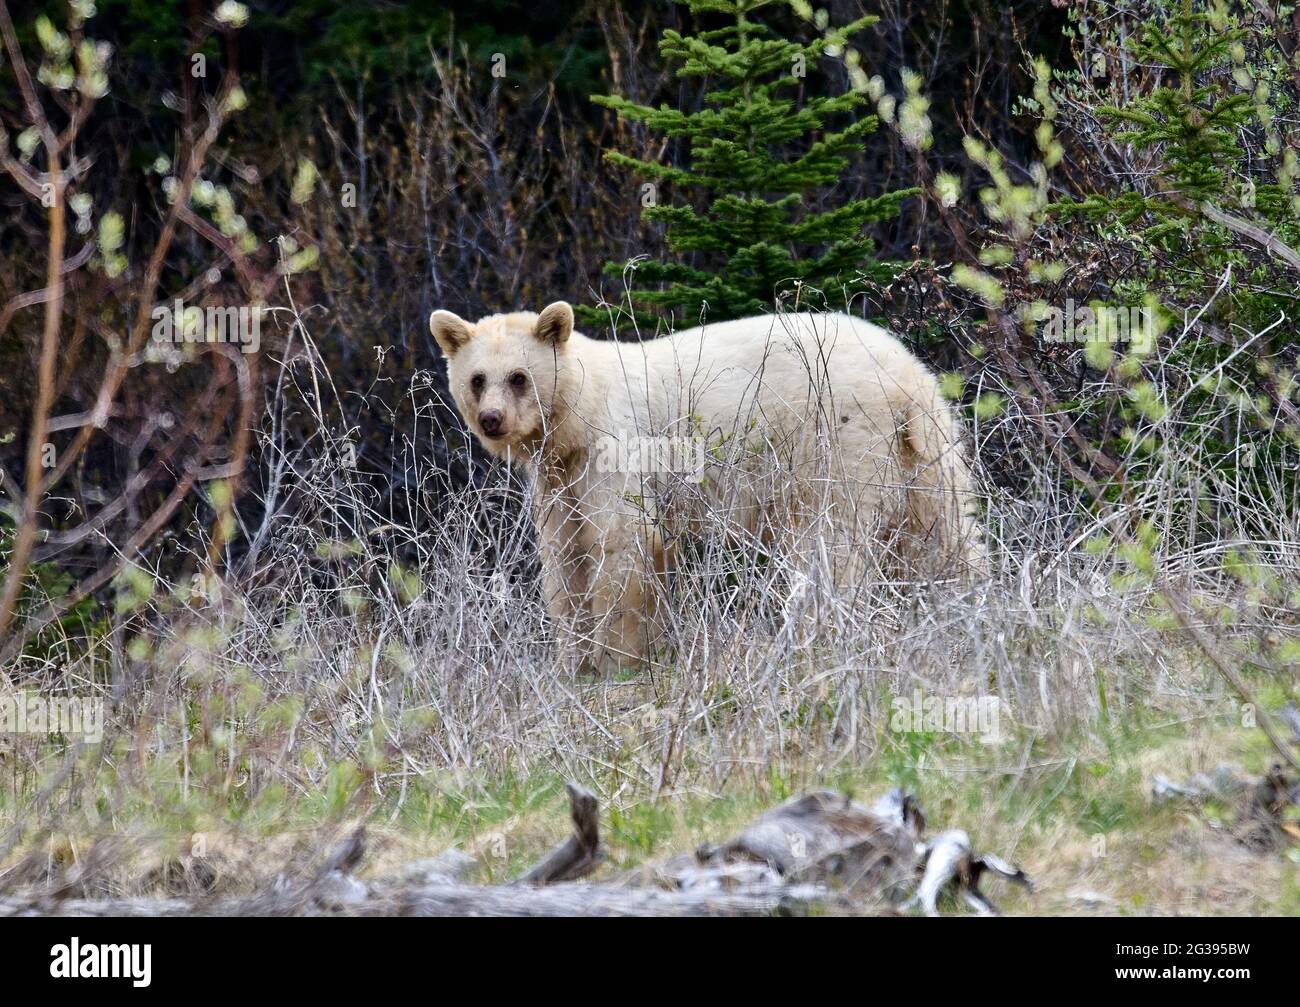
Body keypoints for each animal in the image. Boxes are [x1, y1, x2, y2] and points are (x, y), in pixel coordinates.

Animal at [431, 302, 977, 675]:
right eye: (477, 379)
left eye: (519, 377)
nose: (492, 419)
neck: (577, 415)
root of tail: (905, 374)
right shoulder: (560, 479)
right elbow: (566, 557)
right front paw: (574, 660)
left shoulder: (617, 448)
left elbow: (621, 543)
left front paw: (618, 659)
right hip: (923, 450)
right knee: (943, 530)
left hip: (835, 440)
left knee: (830, 540)